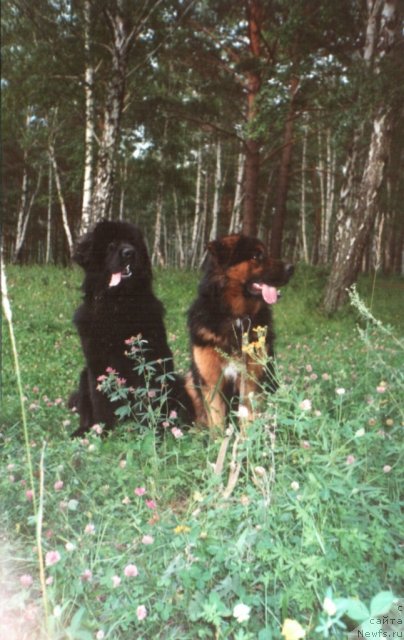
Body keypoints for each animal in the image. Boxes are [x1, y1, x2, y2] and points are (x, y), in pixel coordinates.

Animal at [69, 219, 194, 436]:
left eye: (132, 243)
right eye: (111, 244)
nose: (129, 252)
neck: (117, 304)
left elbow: (148, 396)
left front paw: (152, 430)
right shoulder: (96, 363)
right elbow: (100, 399)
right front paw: (101, 429)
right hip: (84, 376)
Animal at [186, 232, 294, 428]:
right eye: (257, 256)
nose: (292, 268)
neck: (236, 317)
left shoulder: (250, 382)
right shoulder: (211, 384)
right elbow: (217, 426)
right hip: (190, 380)